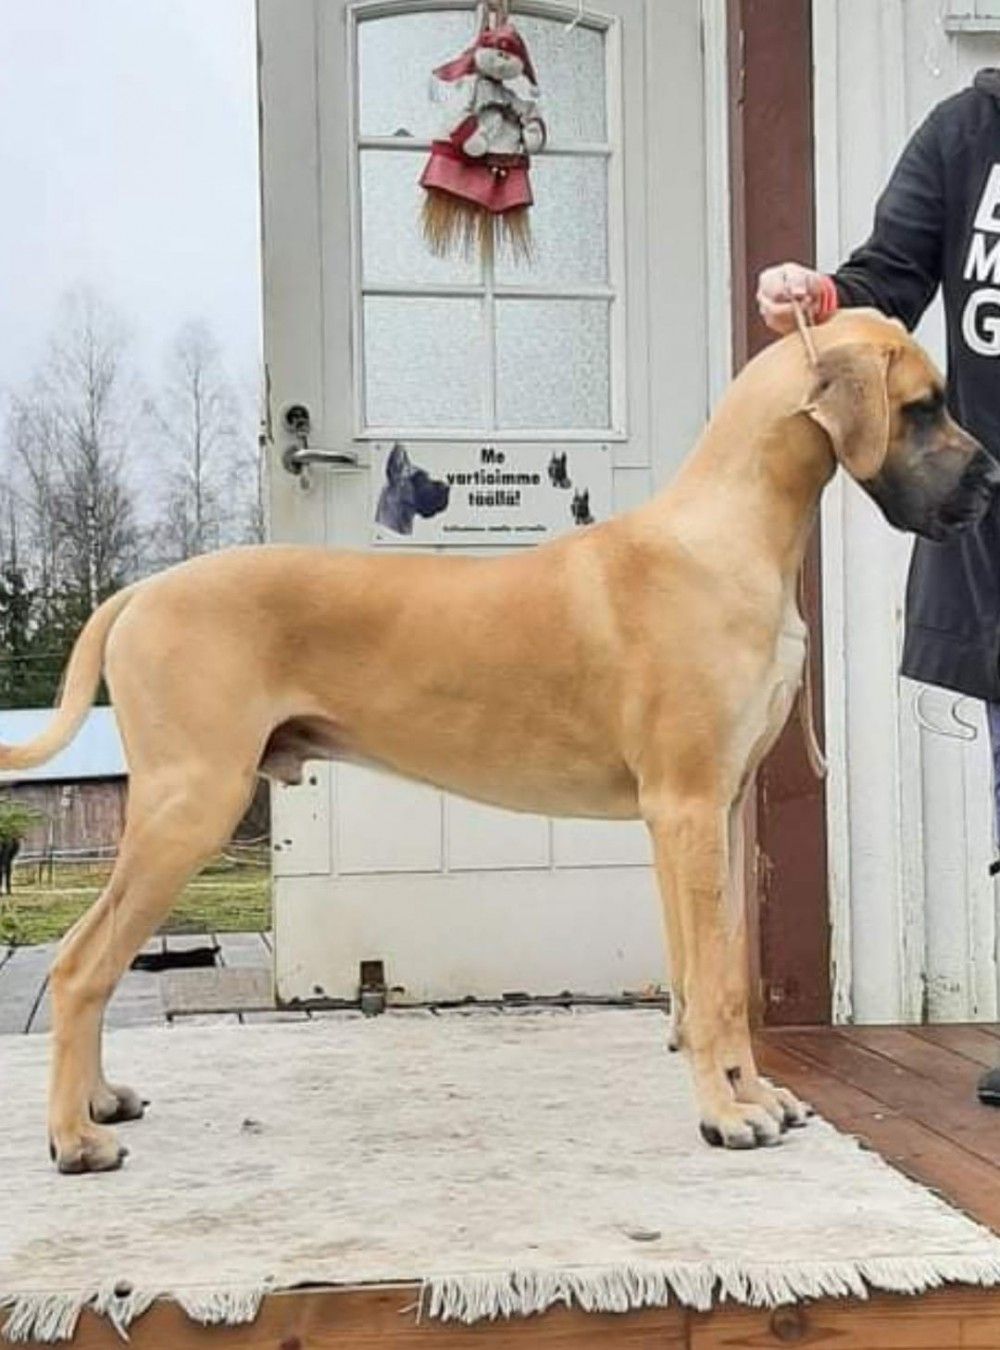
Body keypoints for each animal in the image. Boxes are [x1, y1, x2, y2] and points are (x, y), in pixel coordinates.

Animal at [4, 311, 997, 1173]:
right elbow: (715, 986)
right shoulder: (683, 810)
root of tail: (142, 590)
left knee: (93, 959)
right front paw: (725, 1115)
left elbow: (713, 978)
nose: (989, 480)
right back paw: (74, 1138)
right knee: (83, 963)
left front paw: (749, 1094)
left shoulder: (710, 816)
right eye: (923, 405)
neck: (730, 533)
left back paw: (99, 1101)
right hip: (191, 806)